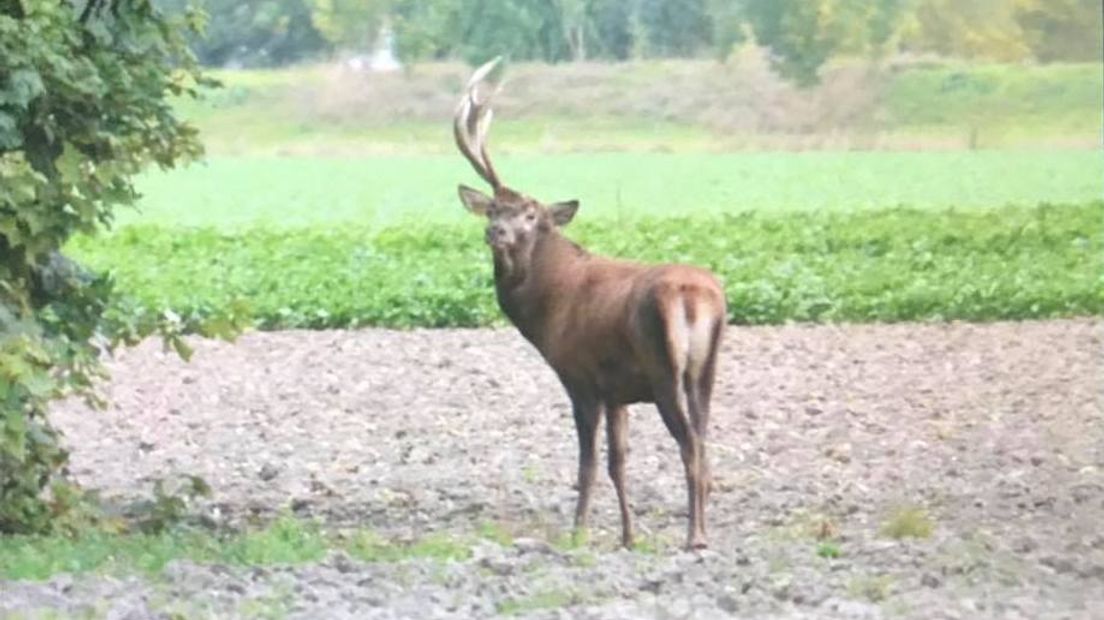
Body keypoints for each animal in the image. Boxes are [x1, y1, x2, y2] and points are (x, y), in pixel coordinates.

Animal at [454, 59, 724, 549]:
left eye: (530, 216)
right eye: (493, 210)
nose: (495, 233)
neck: (547, 308)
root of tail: (695, 294)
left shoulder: (578, 375)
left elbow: (589, 464)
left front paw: (577, 531)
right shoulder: (617, 388)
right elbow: (619, 461)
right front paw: (629, 536)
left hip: (664, 368)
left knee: (691, 445)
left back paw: (694, 536)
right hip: (705, 370)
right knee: (705, 442)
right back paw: (701, 529)